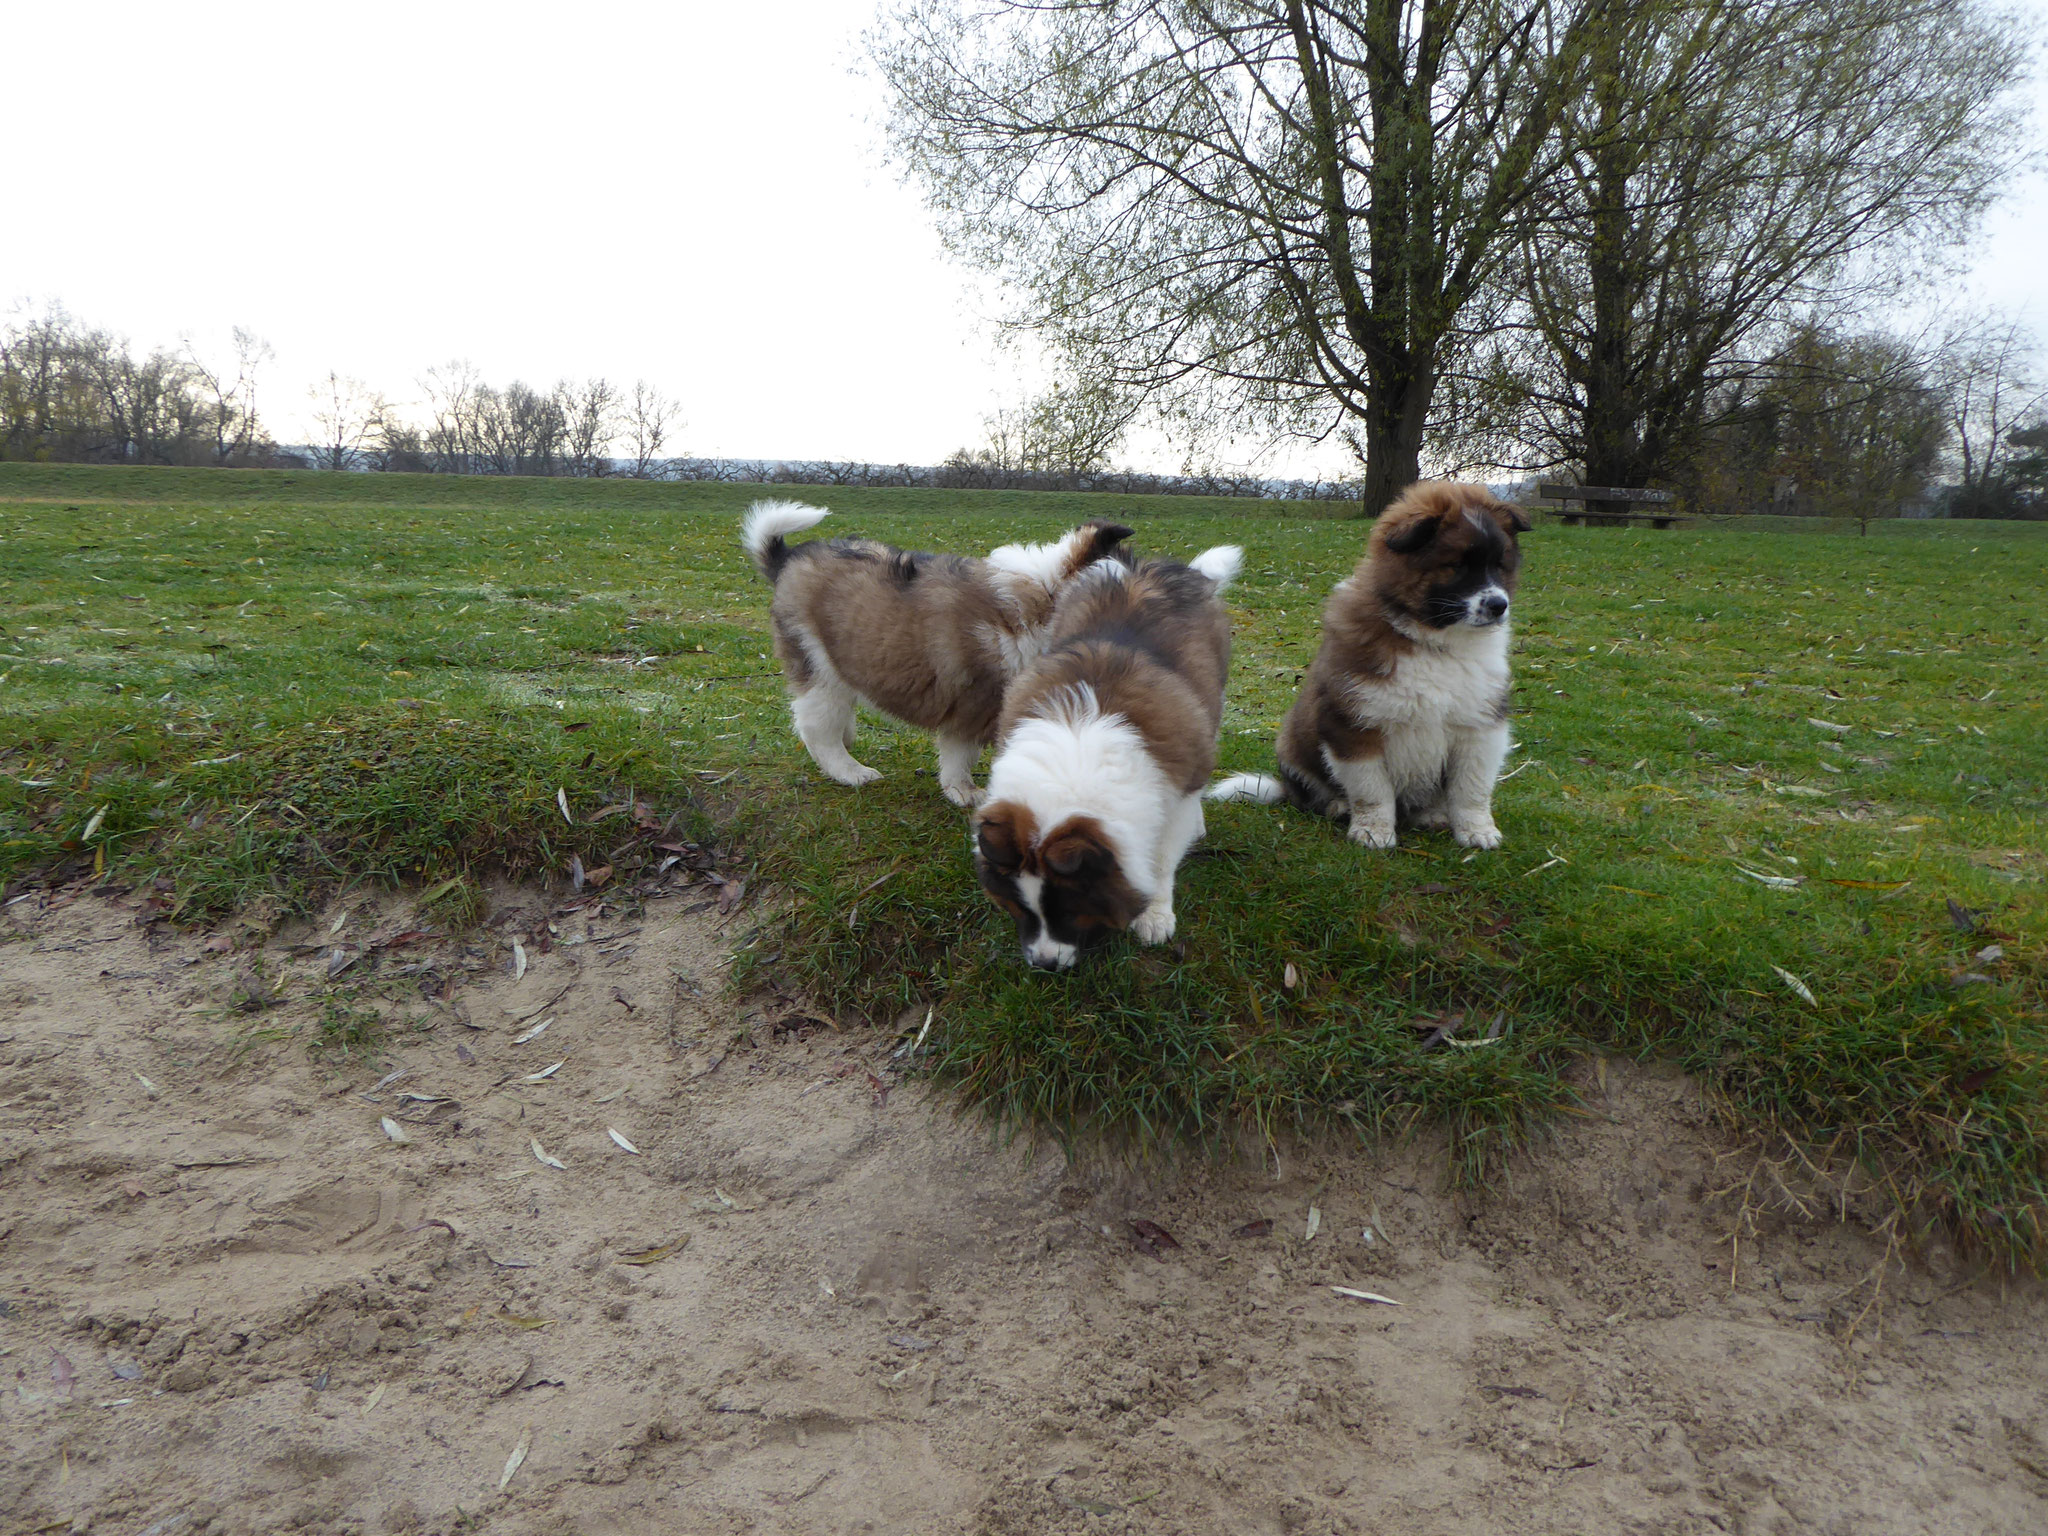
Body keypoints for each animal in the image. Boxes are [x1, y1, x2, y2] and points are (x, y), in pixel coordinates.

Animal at [745, 507, 1138, 819]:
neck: (1043, 602)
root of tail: (788, 559)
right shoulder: (975, 702)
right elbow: (960, 753)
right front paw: (963, 791)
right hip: (818, 663)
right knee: (815, 726)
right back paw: (851, 771)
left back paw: (848, 736)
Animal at [970, 544, 1236, 974]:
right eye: (1020, 909)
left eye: (1068, 909)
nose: (1045, 964)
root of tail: (1148, 565)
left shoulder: (1176, 791)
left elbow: (1161, 859)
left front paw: (1155, 915)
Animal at [1204, 483, 1531, 856]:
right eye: (1456, 566)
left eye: (1499, 565)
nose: (1499, 606)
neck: (1432, 641)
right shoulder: (1354, 727)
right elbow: (1372, 790)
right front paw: (1373, 832)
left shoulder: (1480, 727)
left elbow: (1472, 789)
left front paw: (1477, 831)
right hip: (1293, 748)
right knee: (1313, 795)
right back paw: (1337, 805)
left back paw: (1431, 814)